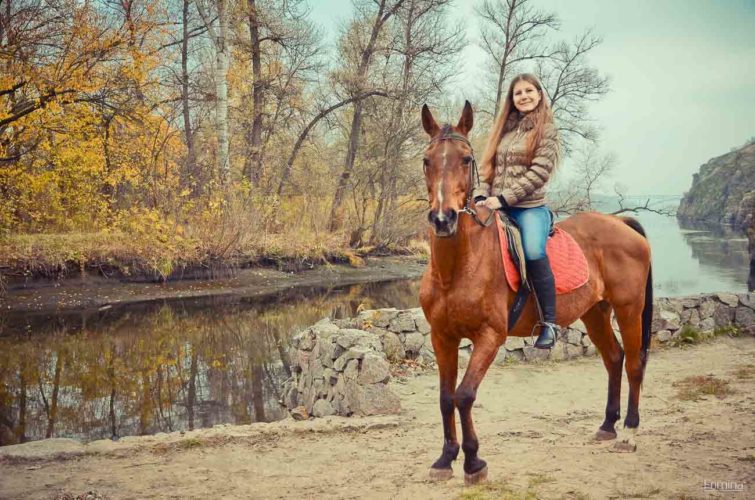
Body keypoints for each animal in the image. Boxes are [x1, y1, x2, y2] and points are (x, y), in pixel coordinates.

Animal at [419, 101, 653, 485]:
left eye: (466, 159)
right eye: (427, 160)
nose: (443, 219)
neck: (460, 266)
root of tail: (619, 222)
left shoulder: (490, 336)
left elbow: (464, 395)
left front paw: (474, 462)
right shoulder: (442, 337)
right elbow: (444, 397)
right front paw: (445, 459)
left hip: (629, 309)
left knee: (633, 363)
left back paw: (630, 433)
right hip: (596, 312)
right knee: (614, 358)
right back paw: (608, 426)